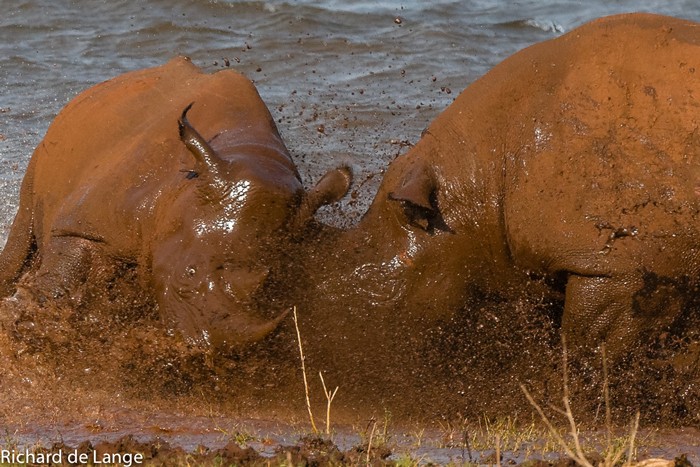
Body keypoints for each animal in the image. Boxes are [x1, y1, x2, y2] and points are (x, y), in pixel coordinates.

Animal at [0, 56, 350, 352]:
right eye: (188, 275)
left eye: (270, 286)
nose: (207, 347)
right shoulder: (88, 224)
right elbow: (62, 278)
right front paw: (28, 320)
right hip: (45, 155)